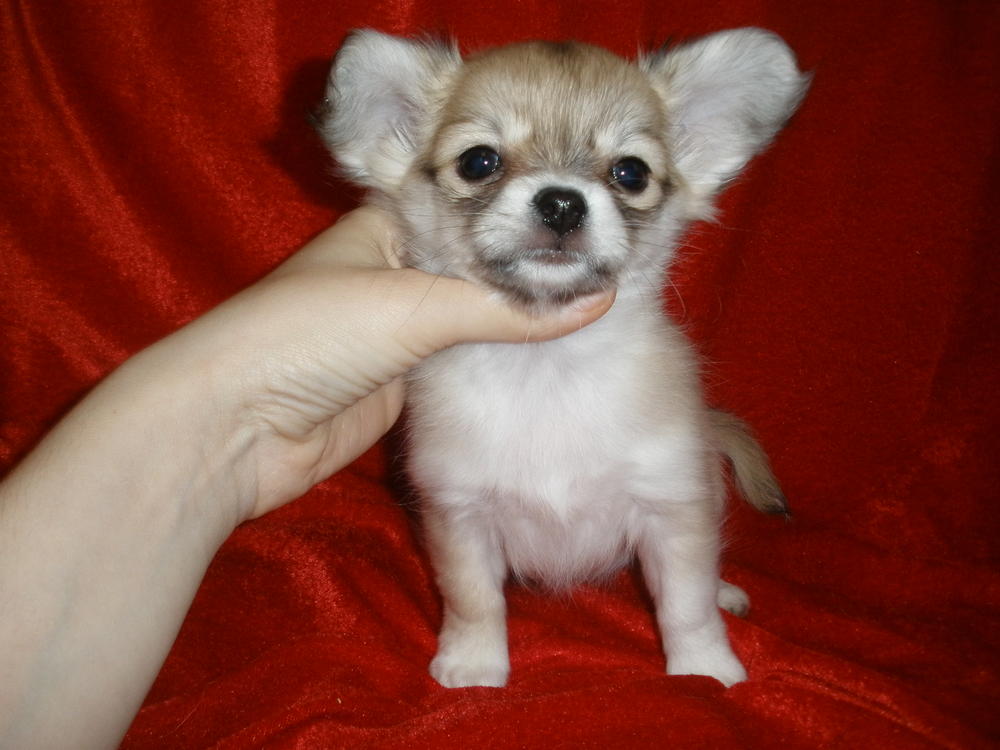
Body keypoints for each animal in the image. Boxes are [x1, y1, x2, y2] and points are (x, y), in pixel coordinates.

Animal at [318, 28, 808, 688]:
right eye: (479, 161)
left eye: (631, 172)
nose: (562, 203)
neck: (546, 365)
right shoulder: (460, 514)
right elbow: (473, 600)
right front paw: (474, 668)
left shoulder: (673, 506)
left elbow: (686, 603)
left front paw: (705, 670)